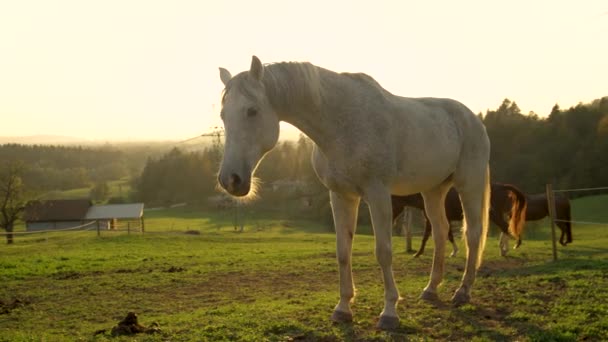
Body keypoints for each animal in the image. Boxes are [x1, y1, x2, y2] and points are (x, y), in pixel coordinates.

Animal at [215, 56, 490, 332]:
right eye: (223, 115)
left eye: (252, 111)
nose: (230, 180)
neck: (341, 124)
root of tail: (471, 118)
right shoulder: (341, 195)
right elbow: (343, 252)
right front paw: (343, 308)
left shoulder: (378, 194)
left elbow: (383, 252)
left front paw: (389, 312)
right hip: (433, 190)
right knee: (441, 231)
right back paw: (431, 290)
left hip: (470, 183)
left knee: (473, 234)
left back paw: (462, 292)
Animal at [394, 183, 528, 255]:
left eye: (393, 201)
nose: (392, 219)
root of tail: (501, 186)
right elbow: (448, 235)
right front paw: (454, 251)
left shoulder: (432, 220)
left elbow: (426, 237)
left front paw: (418, 253)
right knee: (505, 228)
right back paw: (505, 248)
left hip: (495, 215)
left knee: (505, 228)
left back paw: (506, 248)